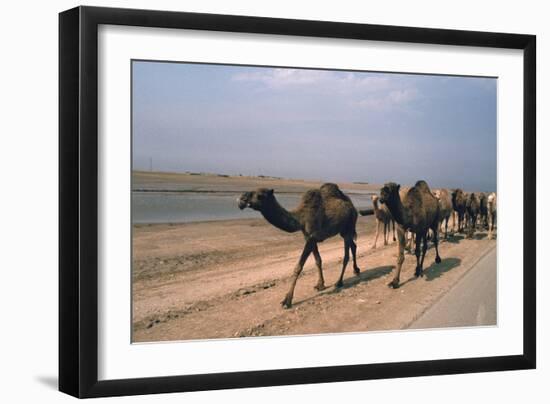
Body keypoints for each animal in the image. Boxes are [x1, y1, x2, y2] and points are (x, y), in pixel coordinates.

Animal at [237, 184, 370, 310]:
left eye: (260, 196)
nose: (241, 200)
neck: (300, 218)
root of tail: (353, 207)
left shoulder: (311, 237)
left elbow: (298, 267)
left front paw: (287, 300)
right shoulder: (309, 238)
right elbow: (318, 260)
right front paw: (320, 284)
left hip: (348, 226)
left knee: (346, 255)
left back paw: (339, 282)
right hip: (344, 231)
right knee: (354, 245)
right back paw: (356, 270)